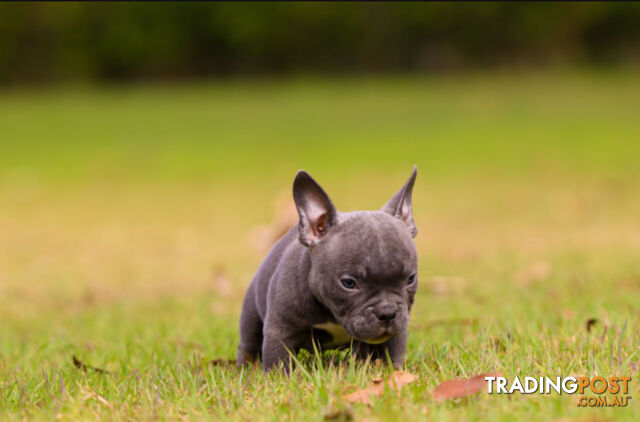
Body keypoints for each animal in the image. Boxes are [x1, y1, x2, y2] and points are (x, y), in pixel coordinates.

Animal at [238, 166, 418, 370]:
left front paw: (393, 373)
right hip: (251, 316)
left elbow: (392, 352)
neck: (331, 312)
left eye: (411, 279)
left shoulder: (397, 332)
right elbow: (278, 360)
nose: (388, 312)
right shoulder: (280, 330)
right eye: (349, 284)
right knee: (249, 345)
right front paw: (278, 376)